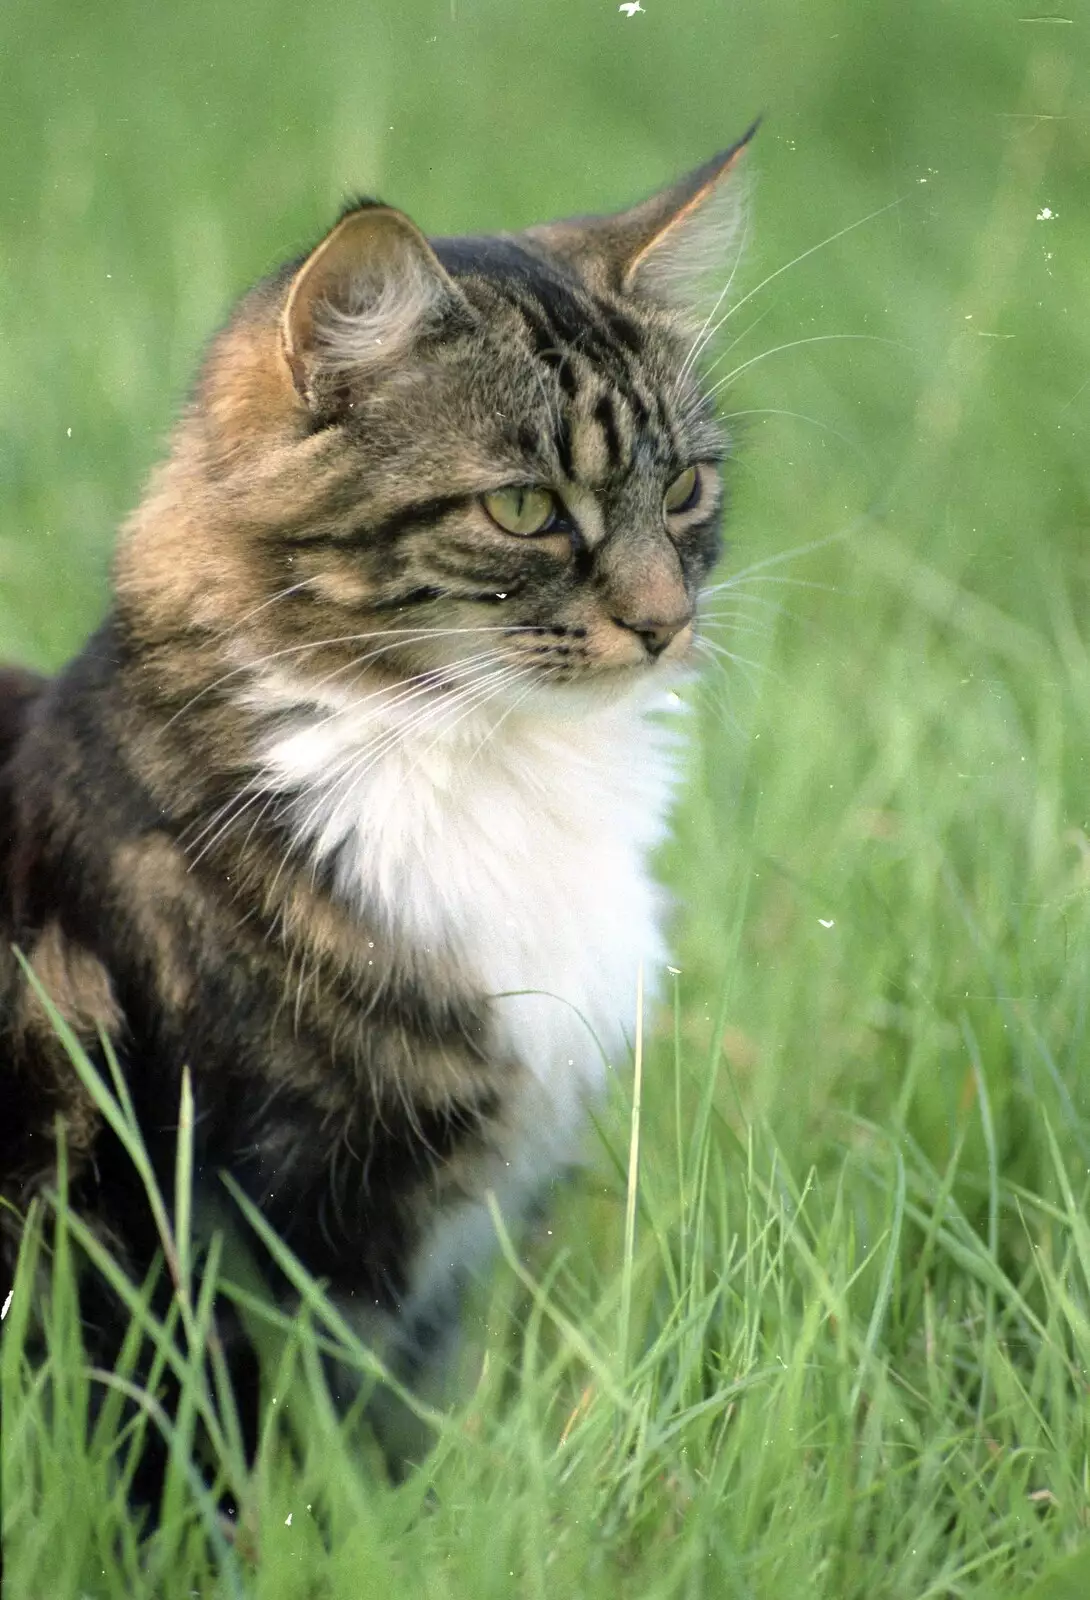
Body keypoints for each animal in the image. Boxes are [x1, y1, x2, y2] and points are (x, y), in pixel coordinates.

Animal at [0, 128, 749, 1472]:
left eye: (684, 493)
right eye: (523, 508)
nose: (667, 623)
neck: (493, 761)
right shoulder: (253, 1222)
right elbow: (256, 1469)